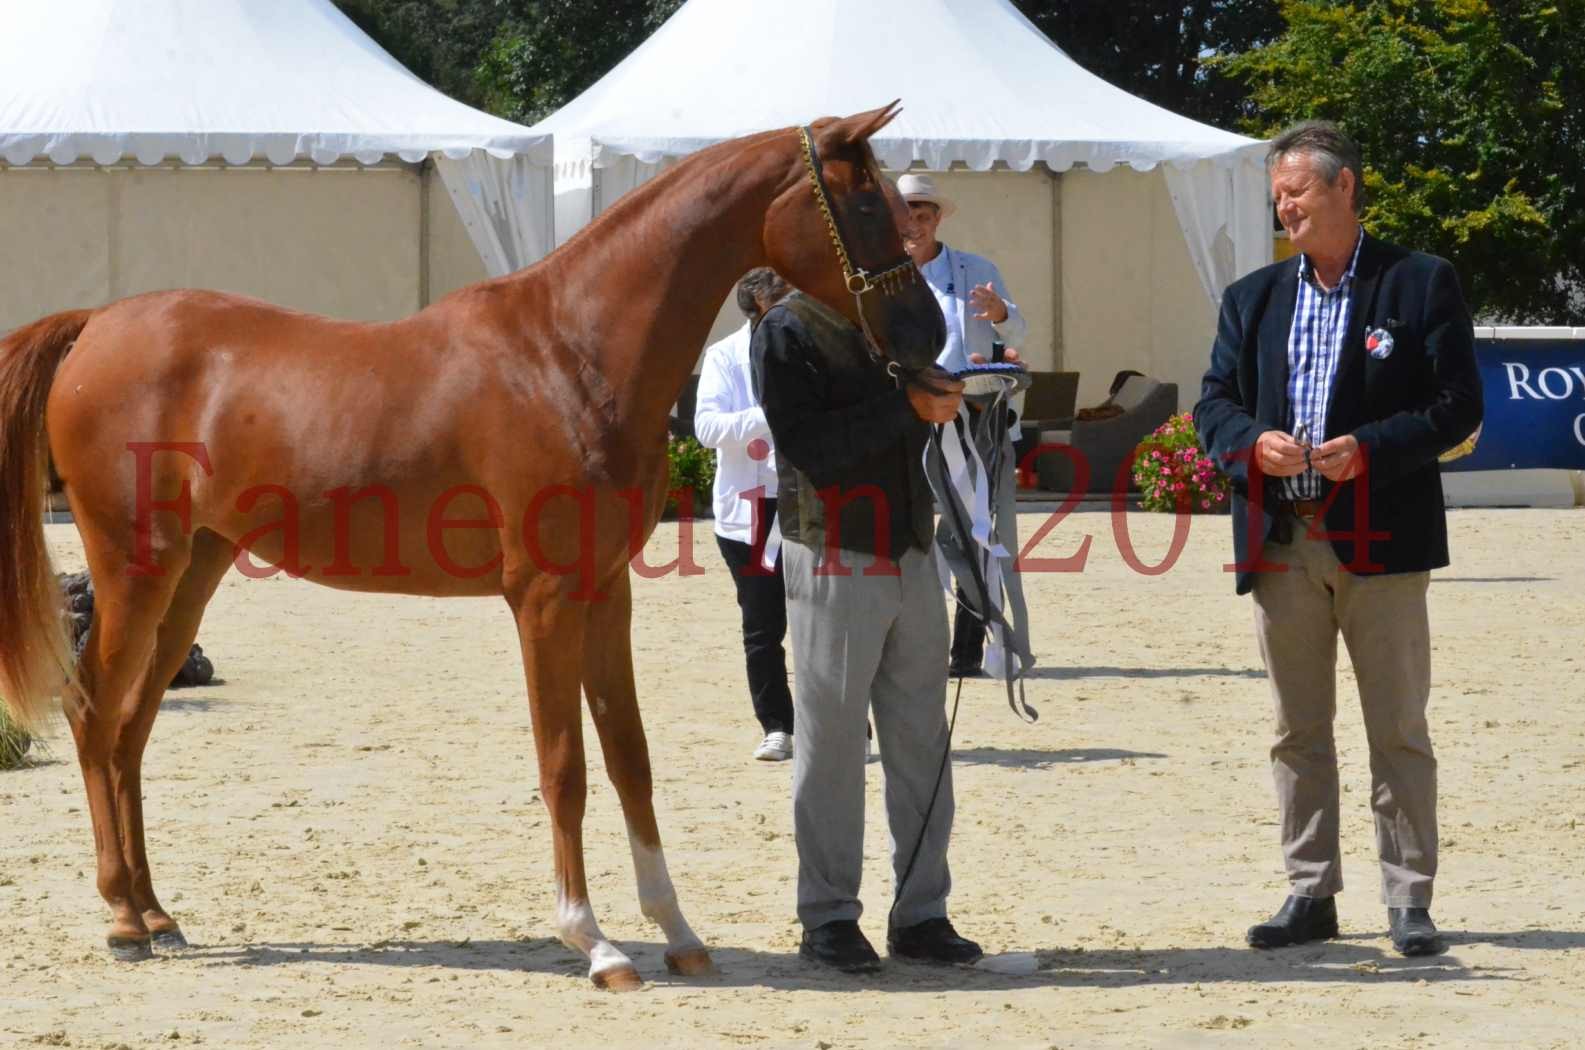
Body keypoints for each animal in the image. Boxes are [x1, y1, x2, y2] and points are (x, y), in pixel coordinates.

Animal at [0, 103, 938, 989]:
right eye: (864, 201)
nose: (926, 335)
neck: (568, 352)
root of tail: (95, 325)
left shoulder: (606, 592)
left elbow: (629, 758)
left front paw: (676, 933)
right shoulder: (544, 600)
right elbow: (564, 766)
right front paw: (595, 943)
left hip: (193, 572)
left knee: (131, 728)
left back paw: (158, 913)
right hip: (134, 569)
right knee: (93, 714)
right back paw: (122, 920)